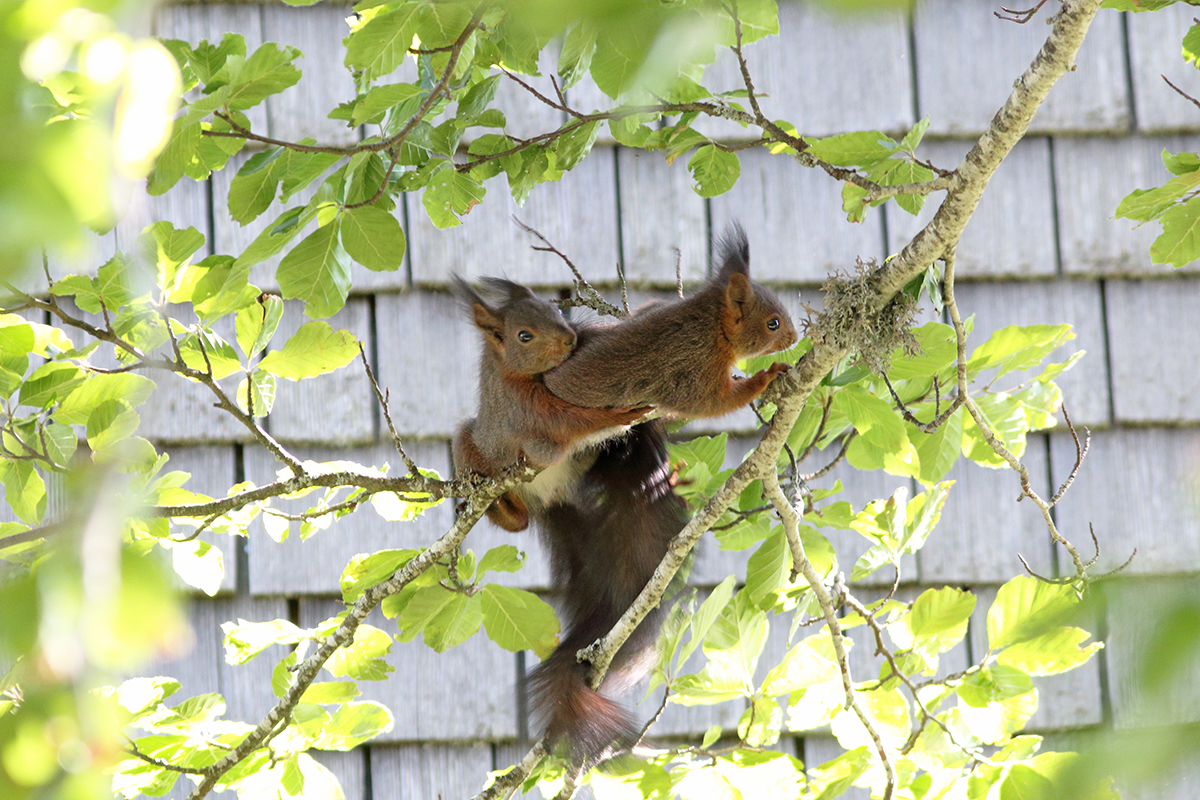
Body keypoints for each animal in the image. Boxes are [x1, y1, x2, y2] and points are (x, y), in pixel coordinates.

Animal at [451, 275, 652, 532]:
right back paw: (499, 507)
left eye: (555, 309)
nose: (570, 338)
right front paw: (620, 415)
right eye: (524, 336)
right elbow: (563, 421)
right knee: (519, 521)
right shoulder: (518, 404)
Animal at [549, 220, 801, 417]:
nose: (795, 338)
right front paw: (767, 375)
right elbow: (714, 402)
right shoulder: (697, 364)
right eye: (773, 324)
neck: (713, 327)